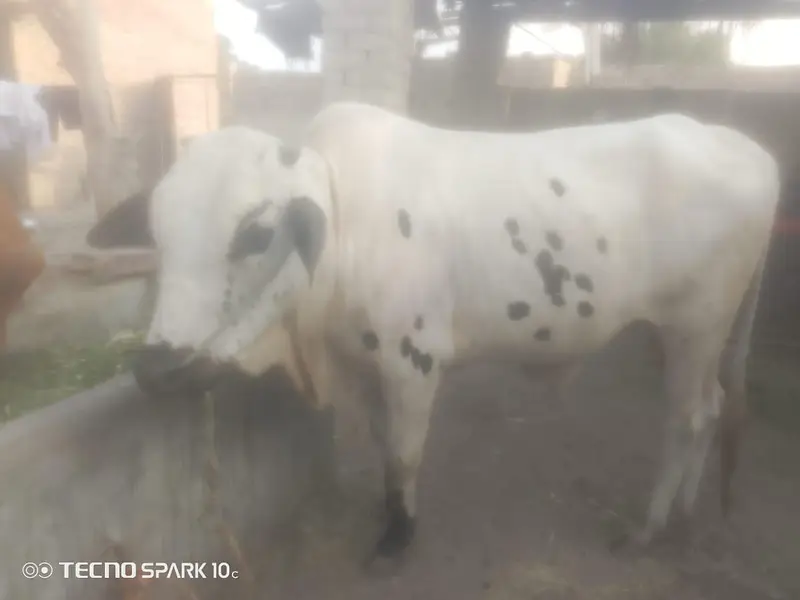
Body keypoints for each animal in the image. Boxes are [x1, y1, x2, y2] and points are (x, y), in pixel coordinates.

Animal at [85, 102, 780, 561]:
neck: (345, 220)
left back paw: (649, 526)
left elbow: (403, 451)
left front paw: (398, 535)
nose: (158, 368)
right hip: (683, 336)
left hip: (695, 329)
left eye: (255, 234)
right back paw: (685, 509)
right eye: (156, 234)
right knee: (713, 407)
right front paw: (386, 509)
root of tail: (750, 151)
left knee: (688, 418)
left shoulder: (412, 363)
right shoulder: (365, 365)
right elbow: (382, 445)